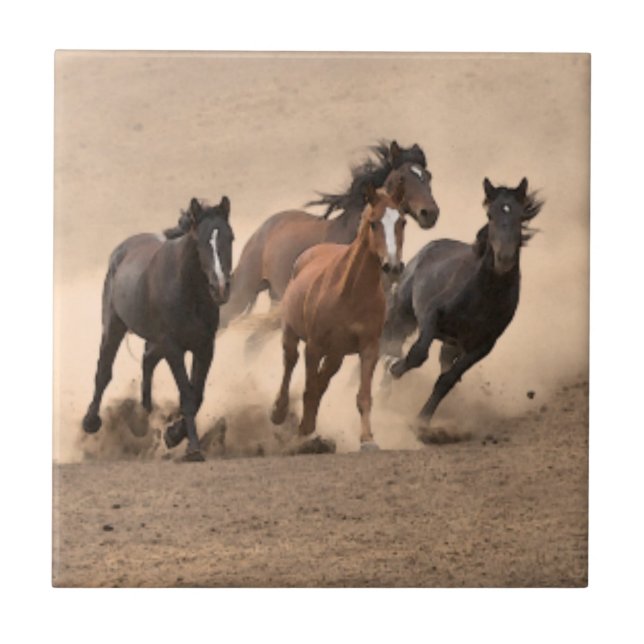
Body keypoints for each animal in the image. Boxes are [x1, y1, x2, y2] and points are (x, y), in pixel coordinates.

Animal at [82, 196, 234, 461]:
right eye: (200, 241)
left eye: (230, 238)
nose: (221, 288)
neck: (188, 291)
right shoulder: (174, 347)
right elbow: (187, 395)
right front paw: (193, 448)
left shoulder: (204, 347)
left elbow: (197, 394)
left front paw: (173, 434)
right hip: (113, 326)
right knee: (104, 370)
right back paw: (91, 421)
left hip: (155, 339)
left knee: (147, 359)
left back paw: (145, 416)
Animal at [270, 180, 407, 451]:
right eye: (373, 222)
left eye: (402, 222)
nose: (393, 266)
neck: (350, 293)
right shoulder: (314, 346)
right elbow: (309, 388)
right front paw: (303, 434)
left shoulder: (369, 348)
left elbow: (362, 395)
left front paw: (368, 440)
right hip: (292, 334)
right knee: (290, 363)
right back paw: (280, 412)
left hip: (336, 354)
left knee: (323, 380)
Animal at [381, 177, 543, 439]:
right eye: (490, 214)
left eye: (520, 216)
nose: (504, 259)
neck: (483, 295)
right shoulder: (431, 316)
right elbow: (417, 354)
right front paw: (393, 368)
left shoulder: (482, 346)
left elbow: (447, 379)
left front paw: (422, 422)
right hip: (404, 315)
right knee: (392, 343)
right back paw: (382, 390)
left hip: (452, 342)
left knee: (442, 361)